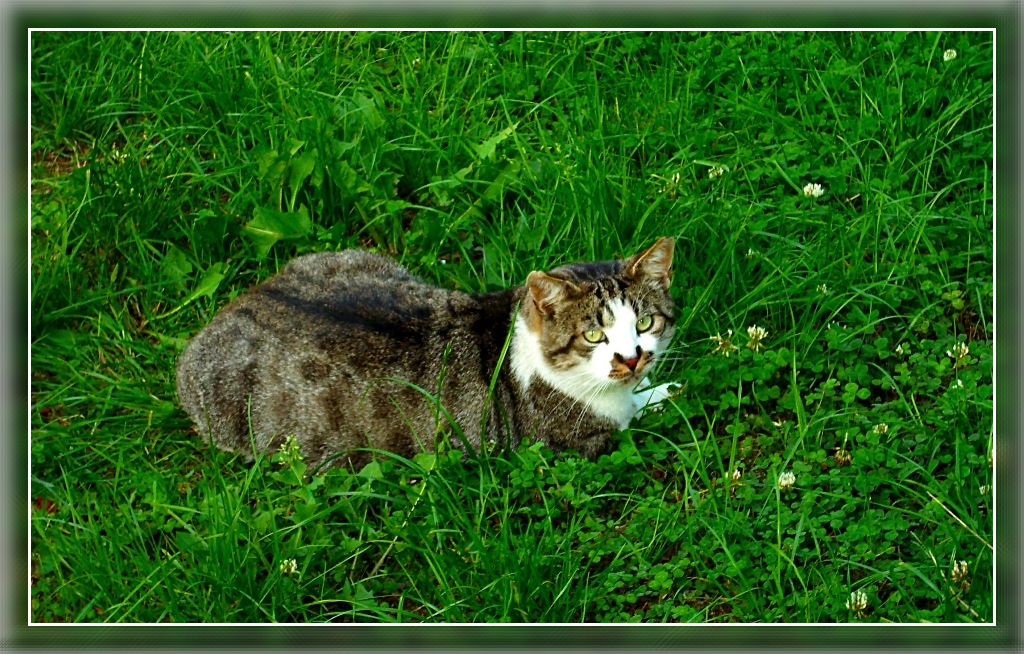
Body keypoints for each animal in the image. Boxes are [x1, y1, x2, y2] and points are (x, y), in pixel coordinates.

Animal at [176, 236, 675, 470]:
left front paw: (657, 385)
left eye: (645, 324)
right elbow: (631, 420)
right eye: (592, 336)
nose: (632, 358)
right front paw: (662, 395)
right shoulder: (573, 442)